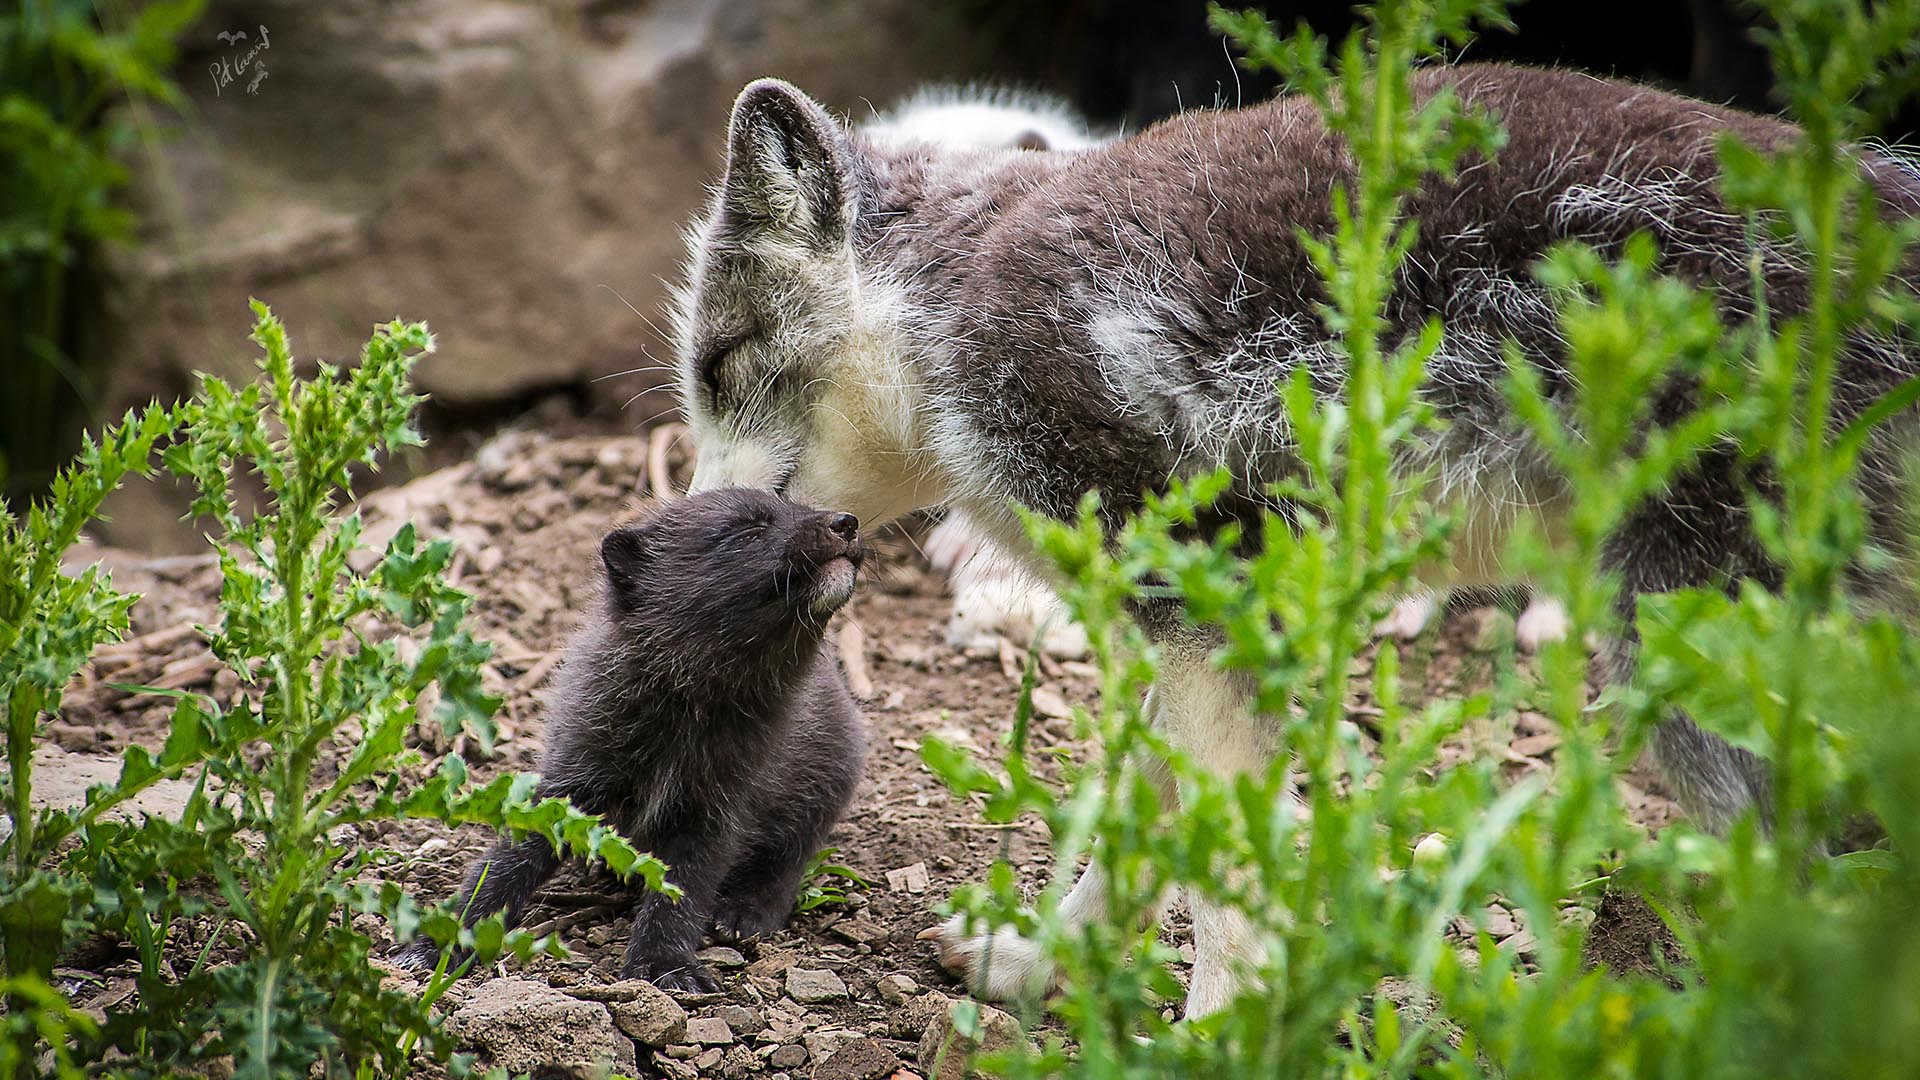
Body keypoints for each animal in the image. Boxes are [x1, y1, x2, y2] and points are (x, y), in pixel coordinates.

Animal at [672, 65, 1920, 1006]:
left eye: (721, 366)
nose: (674, 526)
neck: (952, 295)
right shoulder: (1220, 620)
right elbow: (1151, 819)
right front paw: (1035, 965)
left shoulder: (1196, 604)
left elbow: (1224, 878)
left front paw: (1213, 1033)